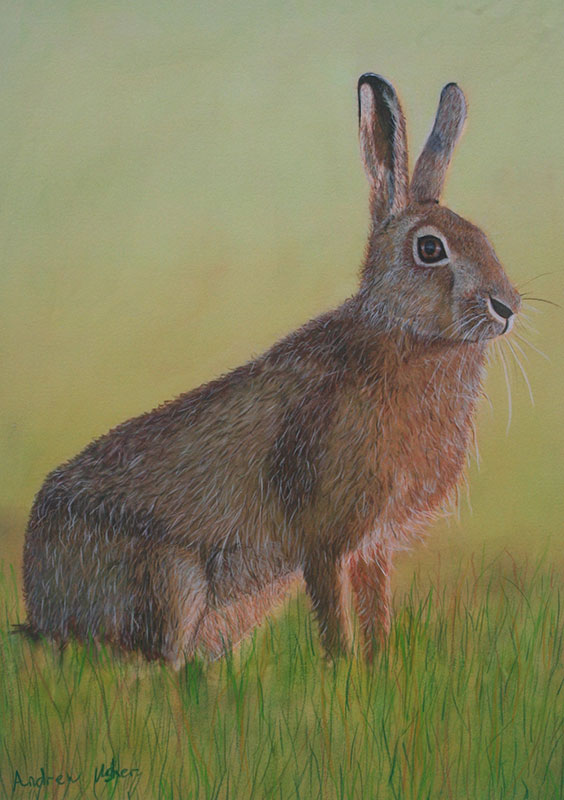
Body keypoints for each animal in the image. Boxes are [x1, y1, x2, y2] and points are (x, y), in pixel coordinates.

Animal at [20, 74, 520, 665]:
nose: (507, 307)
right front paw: (342, 673)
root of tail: (39, 604)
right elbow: (334, 616)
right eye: (429, 248)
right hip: (171, 580)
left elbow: (376, 613)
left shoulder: (374, 546)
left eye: (483, 237)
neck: (407, 337)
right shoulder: (325, 535)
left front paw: (382, 672)